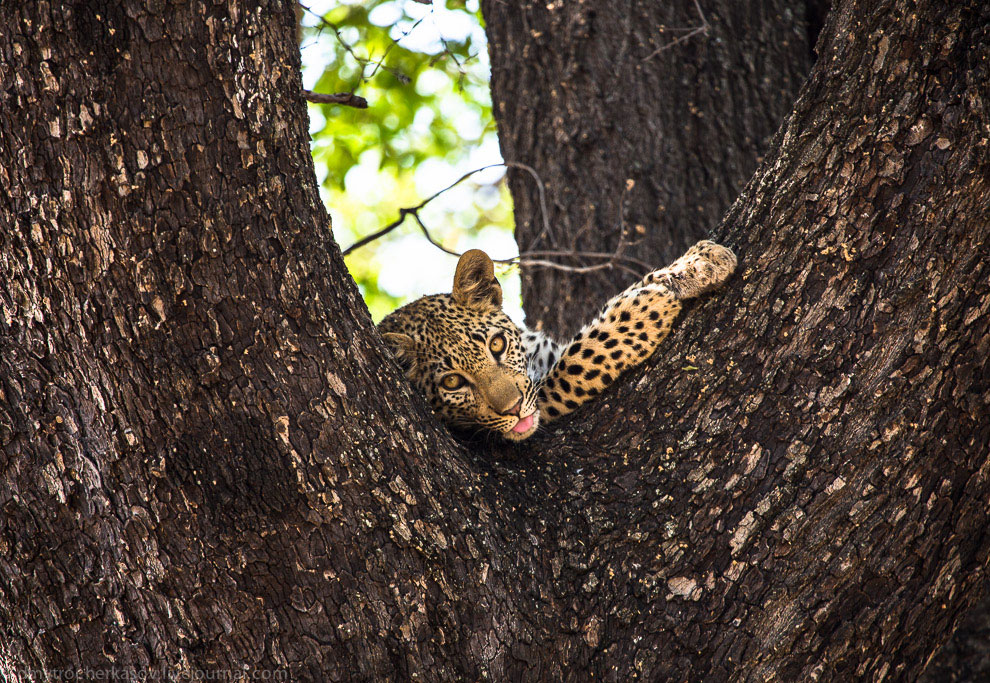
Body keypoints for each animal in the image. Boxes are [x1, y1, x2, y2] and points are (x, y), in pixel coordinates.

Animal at [380, 240, 736, 444]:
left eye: (497, 345)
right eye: (452, 382)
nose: (513, 409)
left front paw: (701, 262)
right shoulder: (544, 394)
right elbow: (584, 355)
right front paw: (645, 308)